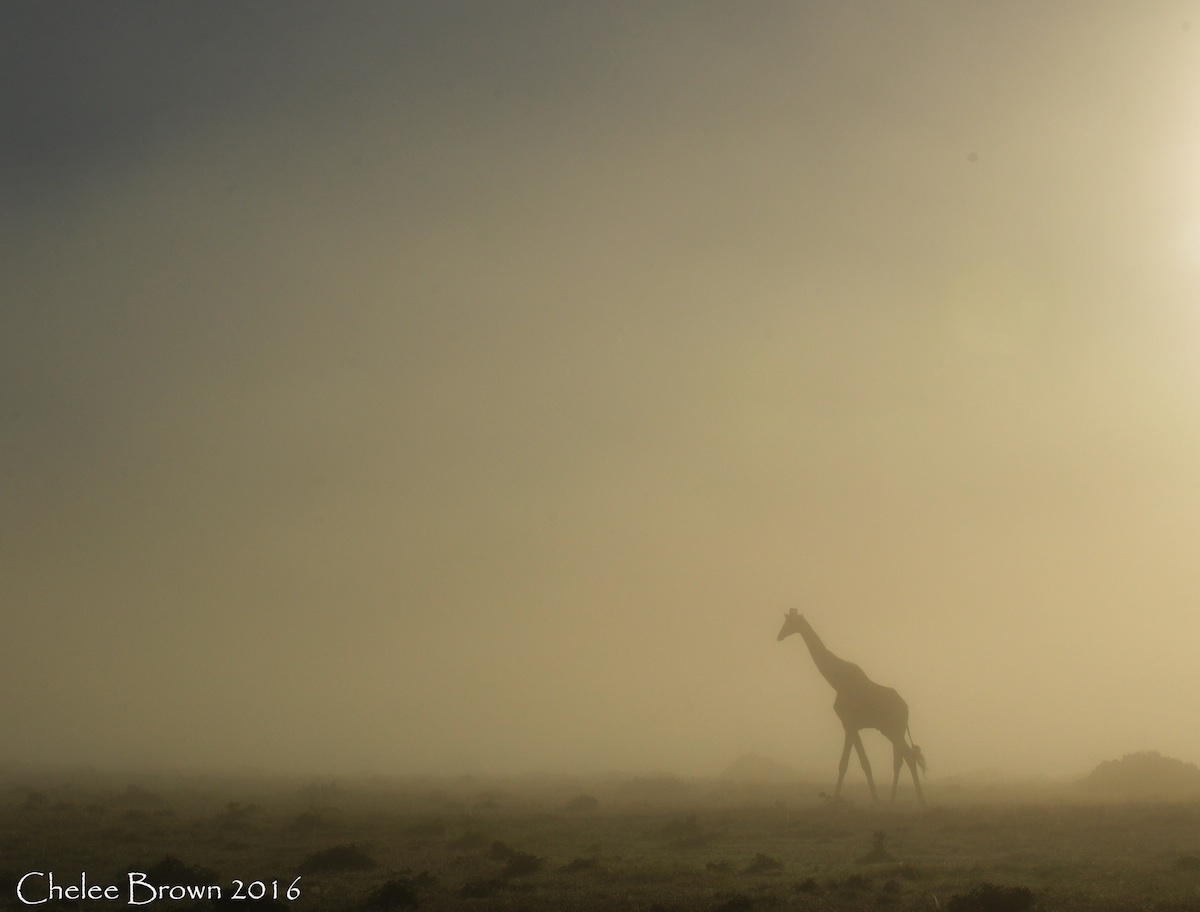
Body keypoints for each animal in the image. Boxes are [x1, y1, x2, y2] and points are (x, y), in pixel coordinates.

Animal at [777, 609, 925, 805]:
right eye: (785, 621)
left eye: (791, 622)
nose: (779, 636)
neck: (837, 681)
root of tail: (906, 708)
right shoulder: (849, 725)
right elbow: (850, 763)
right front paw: (851, 799)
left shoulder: (850, 724)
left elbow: (856, 762)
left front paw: (870, 800)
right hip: (890, 731)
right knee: (907, 756)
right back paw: (911, 800)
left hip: (895, 730)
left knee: (903, 758)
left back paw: (902, 800)